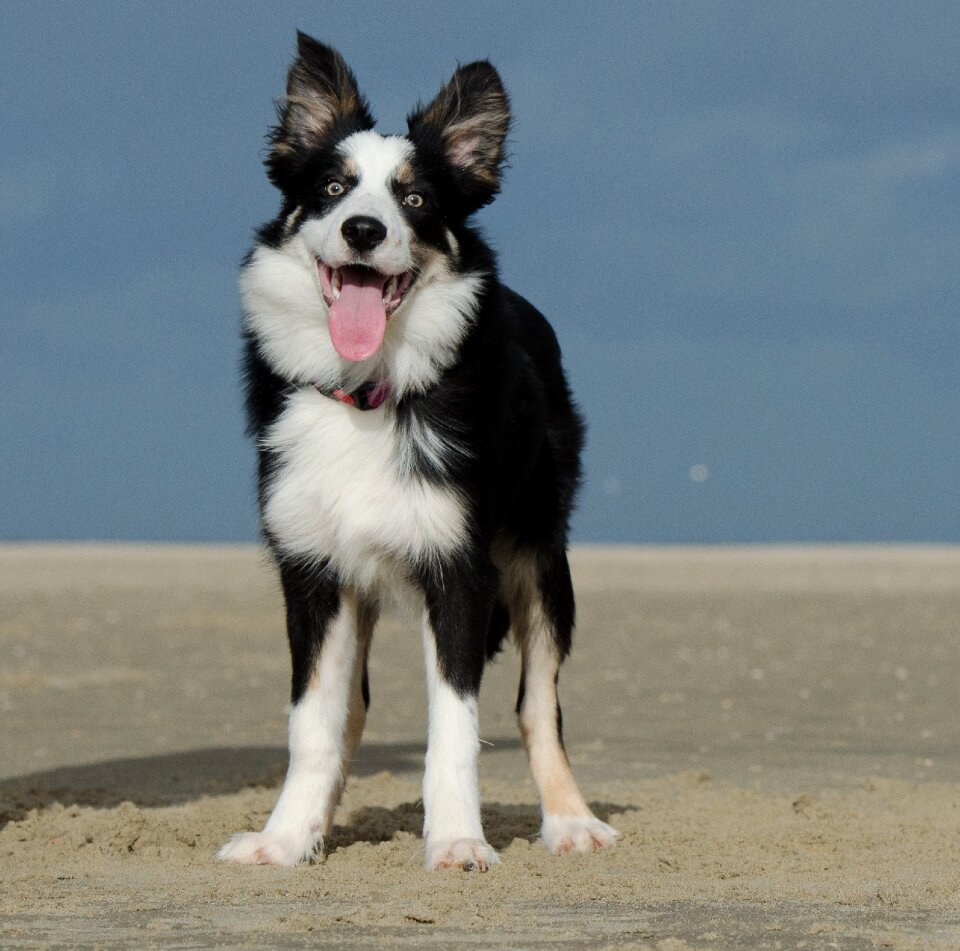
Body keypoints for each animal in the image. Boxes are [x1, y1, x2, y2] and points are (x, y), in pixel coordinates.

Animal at [219, 35, 616, 872]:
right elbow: (314, 722)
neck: (366, 391)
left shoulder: (461, 570)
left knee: (539, 705)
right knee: (352, 713)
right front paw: (285, 836)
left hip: (541, 556)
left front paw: (458, 840)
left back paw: (571, 821)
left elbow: (455, 729)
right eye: (332, 188)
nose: (364, 230)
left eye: (418, 201)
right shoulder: (312, 570)